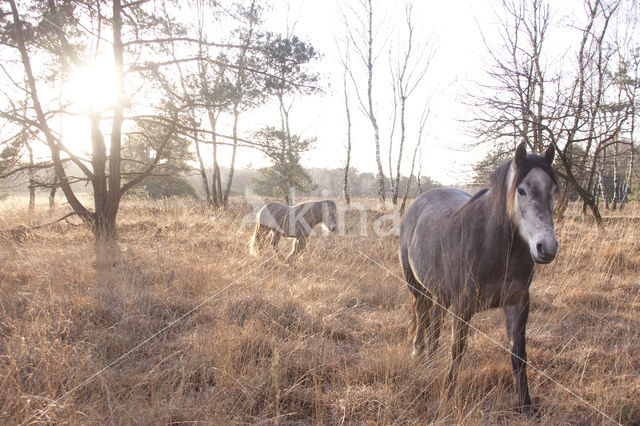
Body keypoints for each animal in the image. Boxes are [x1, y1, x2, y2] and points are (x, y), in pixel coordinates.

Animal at [400, 143, 560, 412]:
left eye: (554, 190)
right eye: (521, 190)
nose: (546, 248)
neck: (492, 246)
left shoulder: (518, 303)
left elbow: (518, 354)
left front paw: (525, 405)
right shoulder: (463, 306)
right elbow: (457, 350)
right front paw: (448, 395)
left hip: (440, 294)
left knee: (434, 327)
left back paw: (429, 360)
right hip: (416, 286)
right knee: (422, 318)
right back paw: (418, 354)